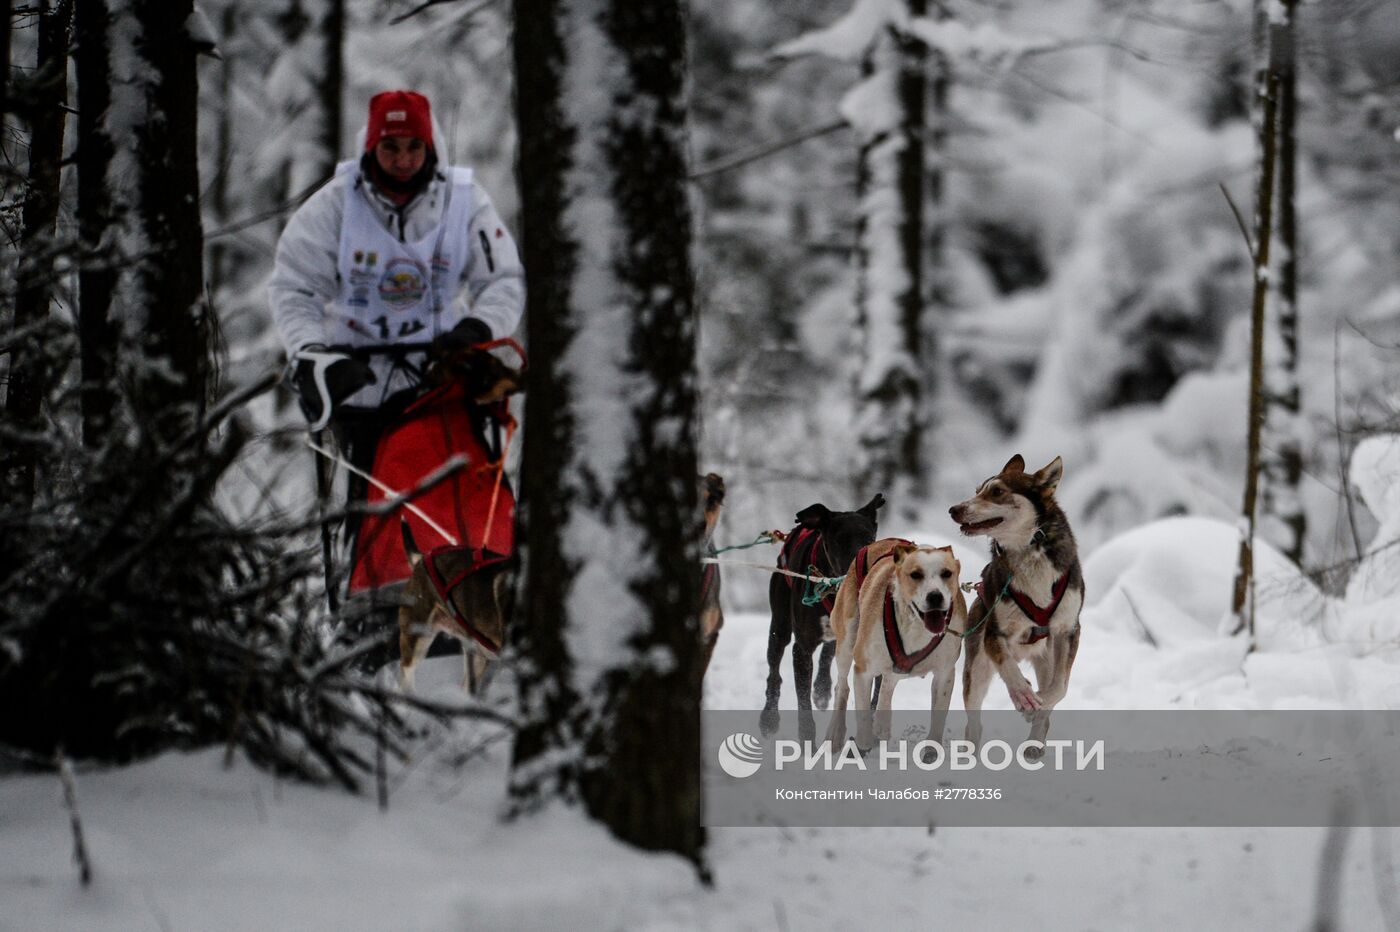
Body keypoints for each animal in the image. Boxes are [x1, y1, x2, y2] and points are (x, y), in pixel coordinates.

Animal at [767, 489, 884, 738]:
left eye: (869, 539)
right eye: (840, 539)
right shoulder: (802, 648)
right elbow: (803, 707)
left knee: (829, 652)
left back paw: (822, 689)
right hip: (780, 624)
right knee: (774, 670)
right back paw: (768, 718)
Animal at [823, 540, 968, 750]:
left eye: (946, 573)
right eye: (915, 574)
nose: (935, 596)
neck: (915, 625)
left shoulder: (945, 672)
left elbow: (938, 718)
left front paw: (931, 750)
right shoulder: (863, 671)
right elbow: (863, 719)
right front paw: (864, 742)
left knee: (888, 682)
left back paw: (882, 722)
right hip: (846, 640)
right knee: (842, 686)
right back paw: (836, 731)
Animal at [946, 453, 1086, 750]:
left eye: (997, 492)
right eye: (978, 490)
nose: (954, 509)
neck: (1030, 550)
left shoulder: (1069, 630)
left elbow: (1059, 688)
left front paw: (1037, 705)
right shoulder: (994, 633)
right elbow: (1009, 668)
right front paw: (1022, 695)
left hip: (1047, 656)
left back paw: (1035, 742)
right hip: (976, 668)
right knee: (974, 722)